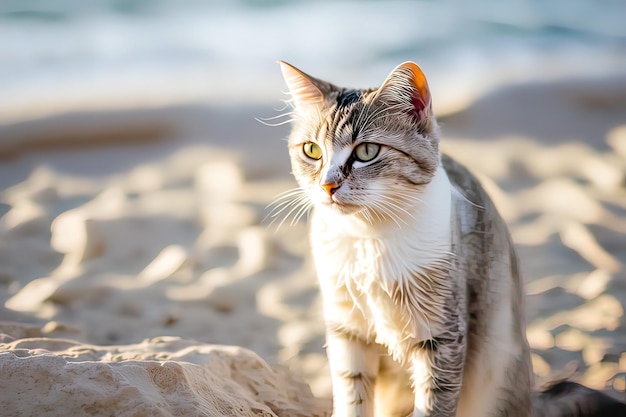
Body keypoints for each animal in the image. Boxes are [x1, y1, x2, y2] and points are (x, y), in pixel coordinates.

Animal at [274, 59, 624, 416]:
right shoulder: (347, 328)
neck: (368, 238)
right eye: (312, 150)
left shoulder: (441, 334)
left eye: (367, 151)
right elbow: (351, 393)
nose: (327, 185)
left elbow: (433, 402)